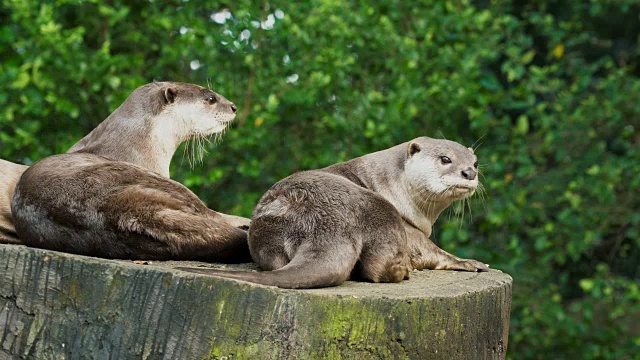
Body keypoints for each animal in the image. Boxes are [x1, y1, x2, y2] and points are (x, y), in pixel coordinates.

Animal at [11, 81, 250, 262]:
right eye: (210, 98)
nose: (234, 107)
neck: (141, 141)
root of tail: (117, 211)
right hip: (161, 183)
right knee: (208, 212)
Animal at [179, 136, 490, 288]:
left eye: (475, 161)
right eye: (445, 159)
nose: (469, 172)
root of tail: (322, 225)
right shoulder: (409, 228)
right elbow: (432, 250)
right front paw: (470, 262)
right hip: (381, 211)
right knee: (379, 269)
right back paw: (403, 272)